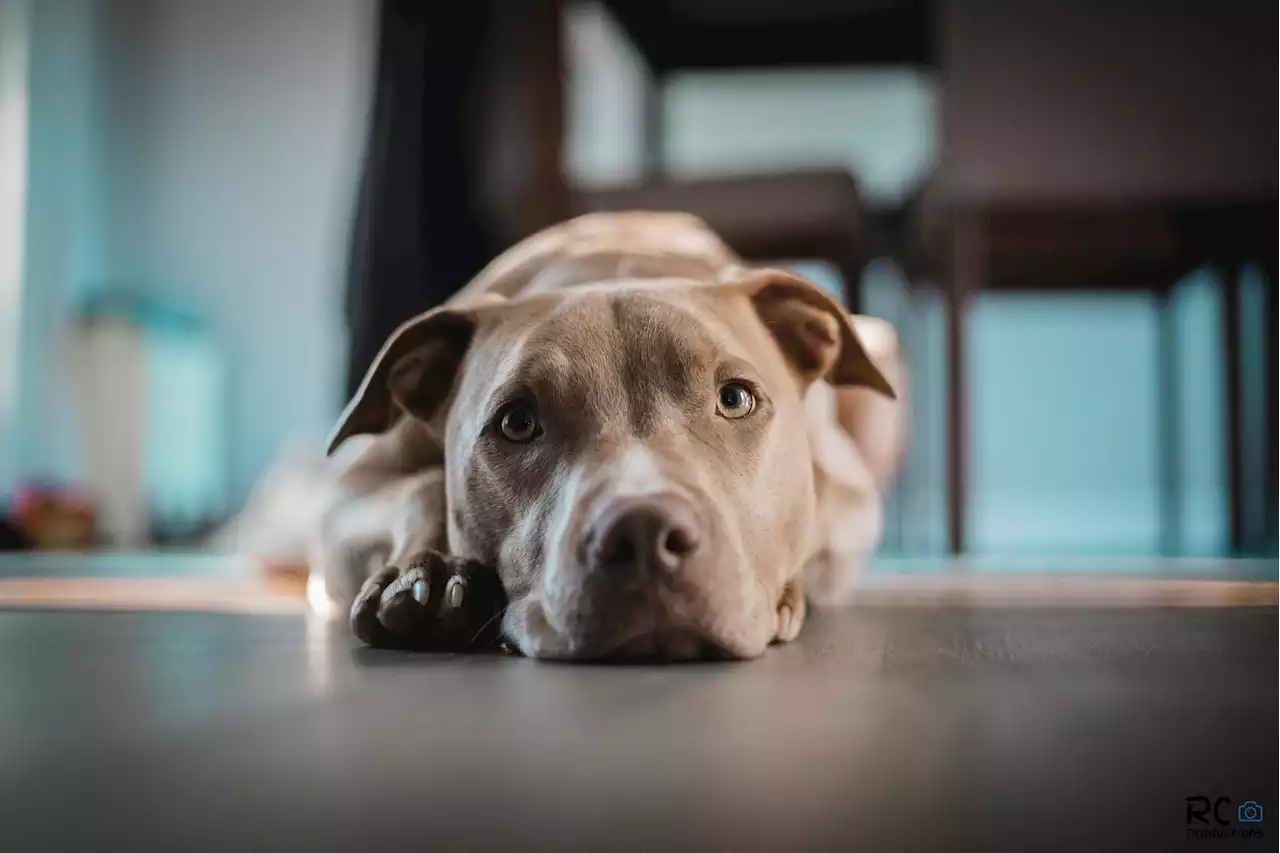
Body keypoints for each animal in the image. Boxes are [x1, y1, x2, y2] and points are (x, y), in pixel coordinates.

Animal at [307, 211, 911, 655]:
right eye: (516, 422)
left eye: (736, 399)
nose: (644, 534)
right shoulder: (345, 497)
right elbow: (421, 487)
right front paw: (426, 577)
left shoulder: (851, 500)